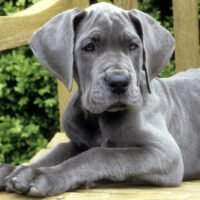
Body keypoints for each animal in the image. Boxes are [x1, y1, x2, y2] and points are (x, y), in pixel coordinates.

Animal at [0, 2, 200, 198]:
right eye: (89, 47)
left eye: (133, 46)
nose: (119, 81)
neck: (97, 118)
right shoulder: (77, 143)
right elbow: (58, 150)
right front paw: (13, 169)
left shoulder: (165, 153)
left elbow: (101, 154)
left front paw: (41, 175)